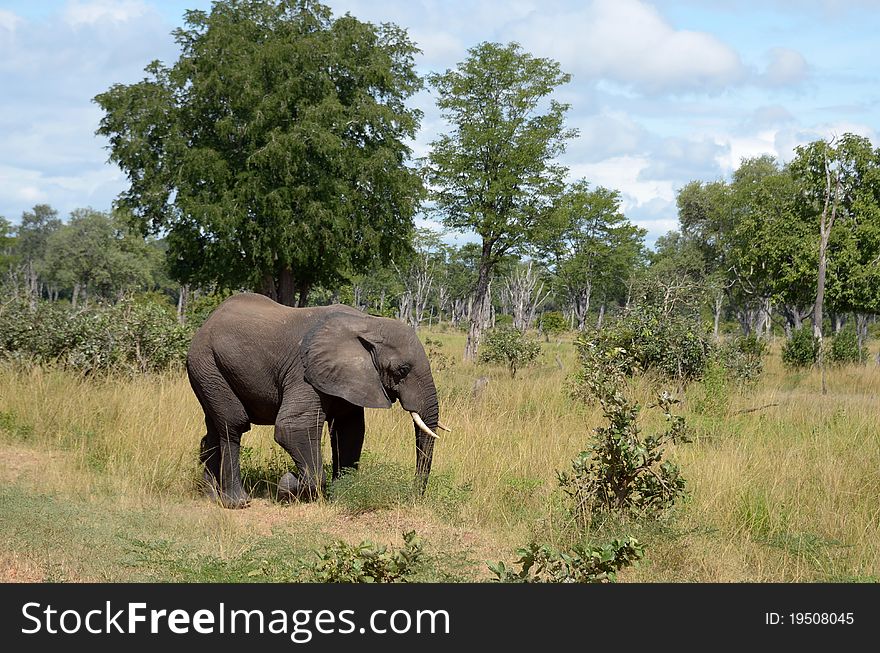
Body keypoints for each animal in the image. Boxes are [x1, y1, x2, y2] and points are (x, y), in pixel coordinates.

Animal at [186, 292, 446, 510]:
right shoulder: (304, 373)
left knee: (214, 427)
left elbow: (349, 431)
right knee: (233, 425)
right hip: (207, 364)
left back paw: (210, 496)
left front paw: (340, 494)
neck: (368, 323)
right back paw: (237, 502)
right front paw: (287, 485)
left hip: (209, 372)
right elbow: (292, 428)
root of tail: (207, 321)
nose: (413, 497)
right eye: (402, 370)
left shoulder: (346, 378)